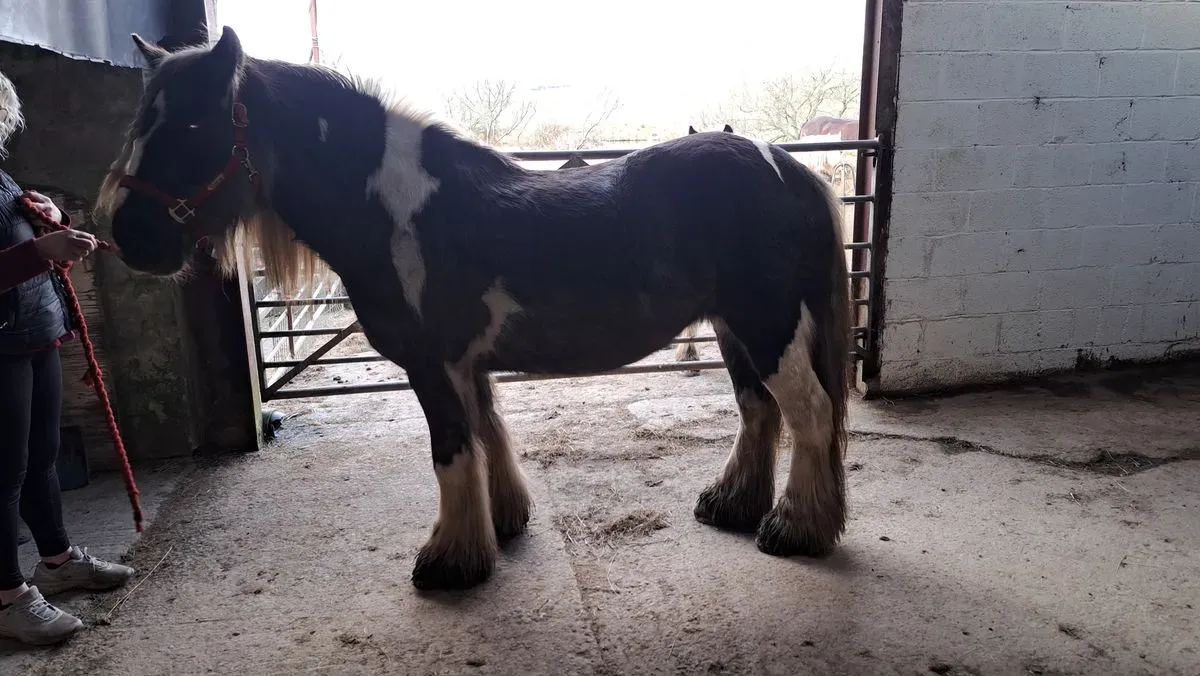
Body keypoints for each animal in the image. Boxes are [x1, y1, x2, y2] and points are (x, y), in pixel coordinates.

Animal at [97, 28, 852, 592]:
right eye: (138, 123)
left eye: (195, 123)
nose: (128, 235)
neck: (396, 210)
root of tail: (784, 164)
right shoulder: (466, 364)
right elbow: (488, 436)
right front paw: (504, 523)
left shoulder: (430, 364)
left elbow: (451, 450)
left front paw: (449, 562)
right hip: (733, 329)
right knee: (759, 411)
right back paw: (733, 506)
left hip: (768, 326)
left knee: (809, 412)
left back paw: (796, 529)